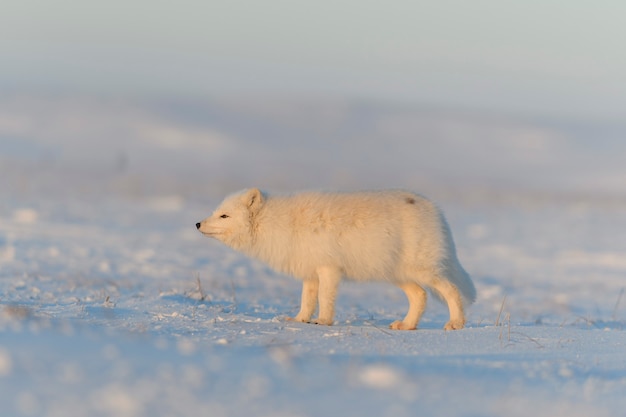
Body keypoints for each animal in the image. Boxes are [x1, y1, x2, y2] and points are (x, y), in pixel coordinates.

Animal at [197, 190, 476, 330]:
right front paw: (299, 320)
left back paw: (456, 323)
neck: (280, 223)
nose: (198, 224)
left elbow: (324, 298)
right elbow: (307, 300)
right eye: (215, 212)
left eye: (224, 216)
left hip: (422, 270)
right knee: (421, 296)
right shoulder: (309, 271)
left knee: (452, 291)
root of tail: (434, 210)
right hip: (398, 274)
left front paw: (324, 321)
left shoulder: (328, 268)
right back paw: (407, 326)